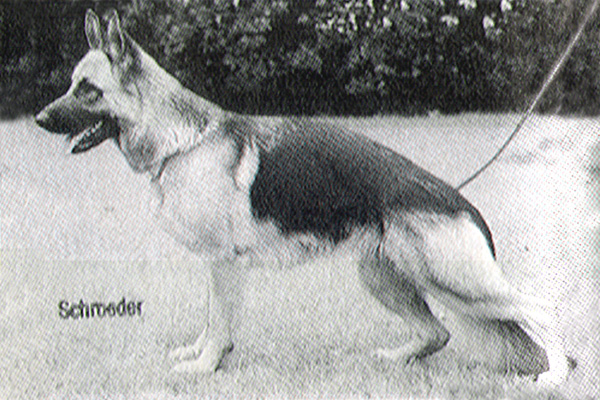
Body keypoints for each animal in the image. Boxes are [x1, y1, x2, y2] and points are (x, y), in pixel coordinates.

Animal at [35, 9, 571, 386]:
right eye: (72, 85)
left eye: (87, 90)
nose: (39, 119)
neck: (183, 140)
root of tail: (459, 201)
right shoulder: (214, 264)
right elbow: (210, 319)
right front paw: (202, 354)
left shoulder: (224, 263)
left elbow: (219, 322)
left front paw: (206, 366)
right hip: (384, 278)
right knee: (438, 332)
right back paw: (394, 360)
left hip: (458, 283)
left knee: (539, 309)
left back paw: (557, 374)